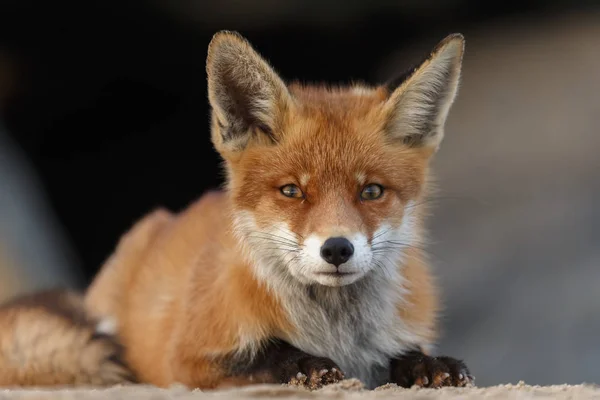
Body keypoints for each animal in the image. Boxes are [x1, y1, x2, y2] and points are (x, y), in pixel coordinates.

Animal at [0, 32, 474, 390]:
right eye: (291, 191)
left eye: (372, 191)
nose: (337, 249)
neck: (336, 331)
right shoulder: (185, 361)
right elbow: (262, 357)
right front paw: (305, 364)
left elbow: (406, 353)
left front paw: (429, 365)